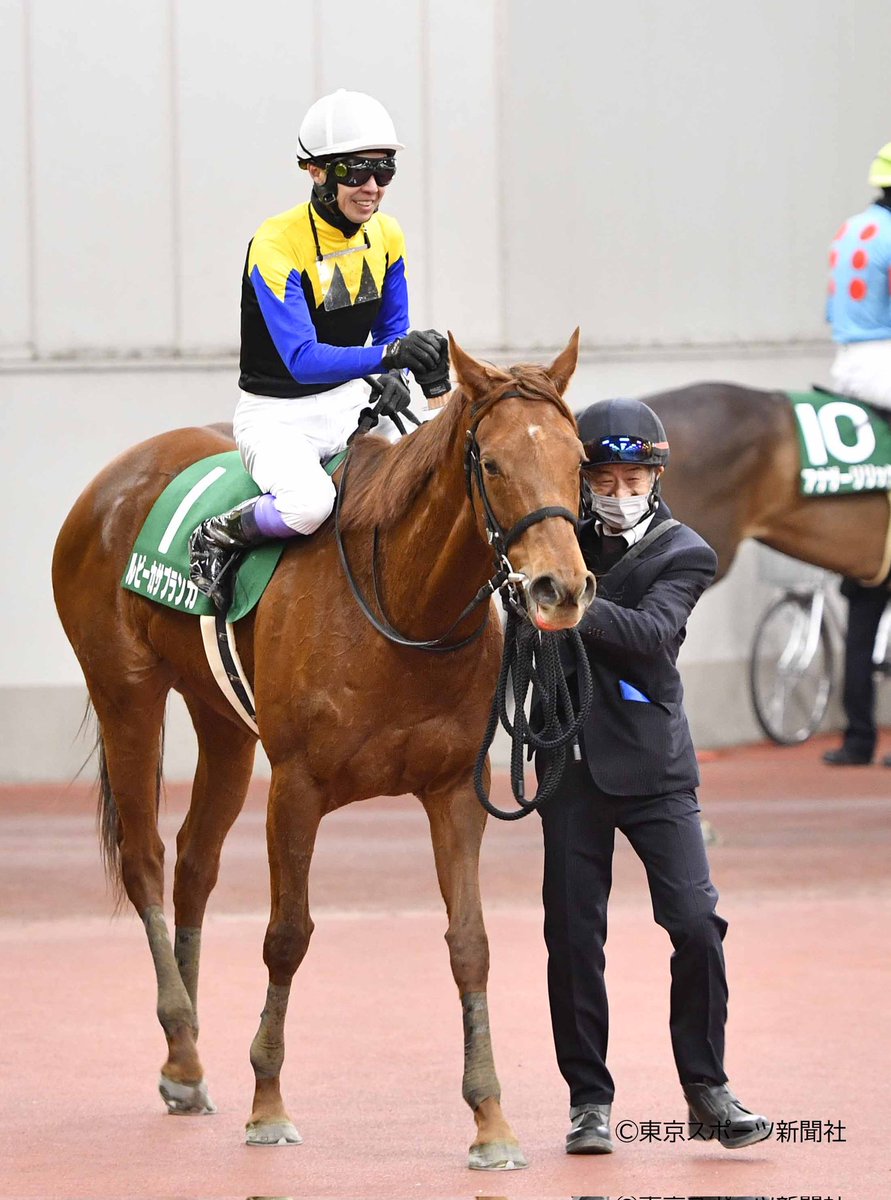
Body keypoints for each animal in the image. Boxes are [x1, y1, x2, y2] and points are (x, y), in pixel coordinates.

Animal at [51, 331, 596, 1170]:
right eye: (495, 464)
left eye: (577, 460)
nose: (557, 589)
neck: (401, 604)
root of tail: (114, 480)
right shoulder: (297, 787)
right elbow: (286, 937)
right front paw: (268, 1105)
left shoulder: (453, 791)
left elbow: (469, 944)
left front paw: (490, 1121)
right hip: (126, 694)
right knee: (146, 857)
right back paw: (180, 1046)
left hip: (222, 722)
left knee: (195, 863)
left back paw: (188, 1059)